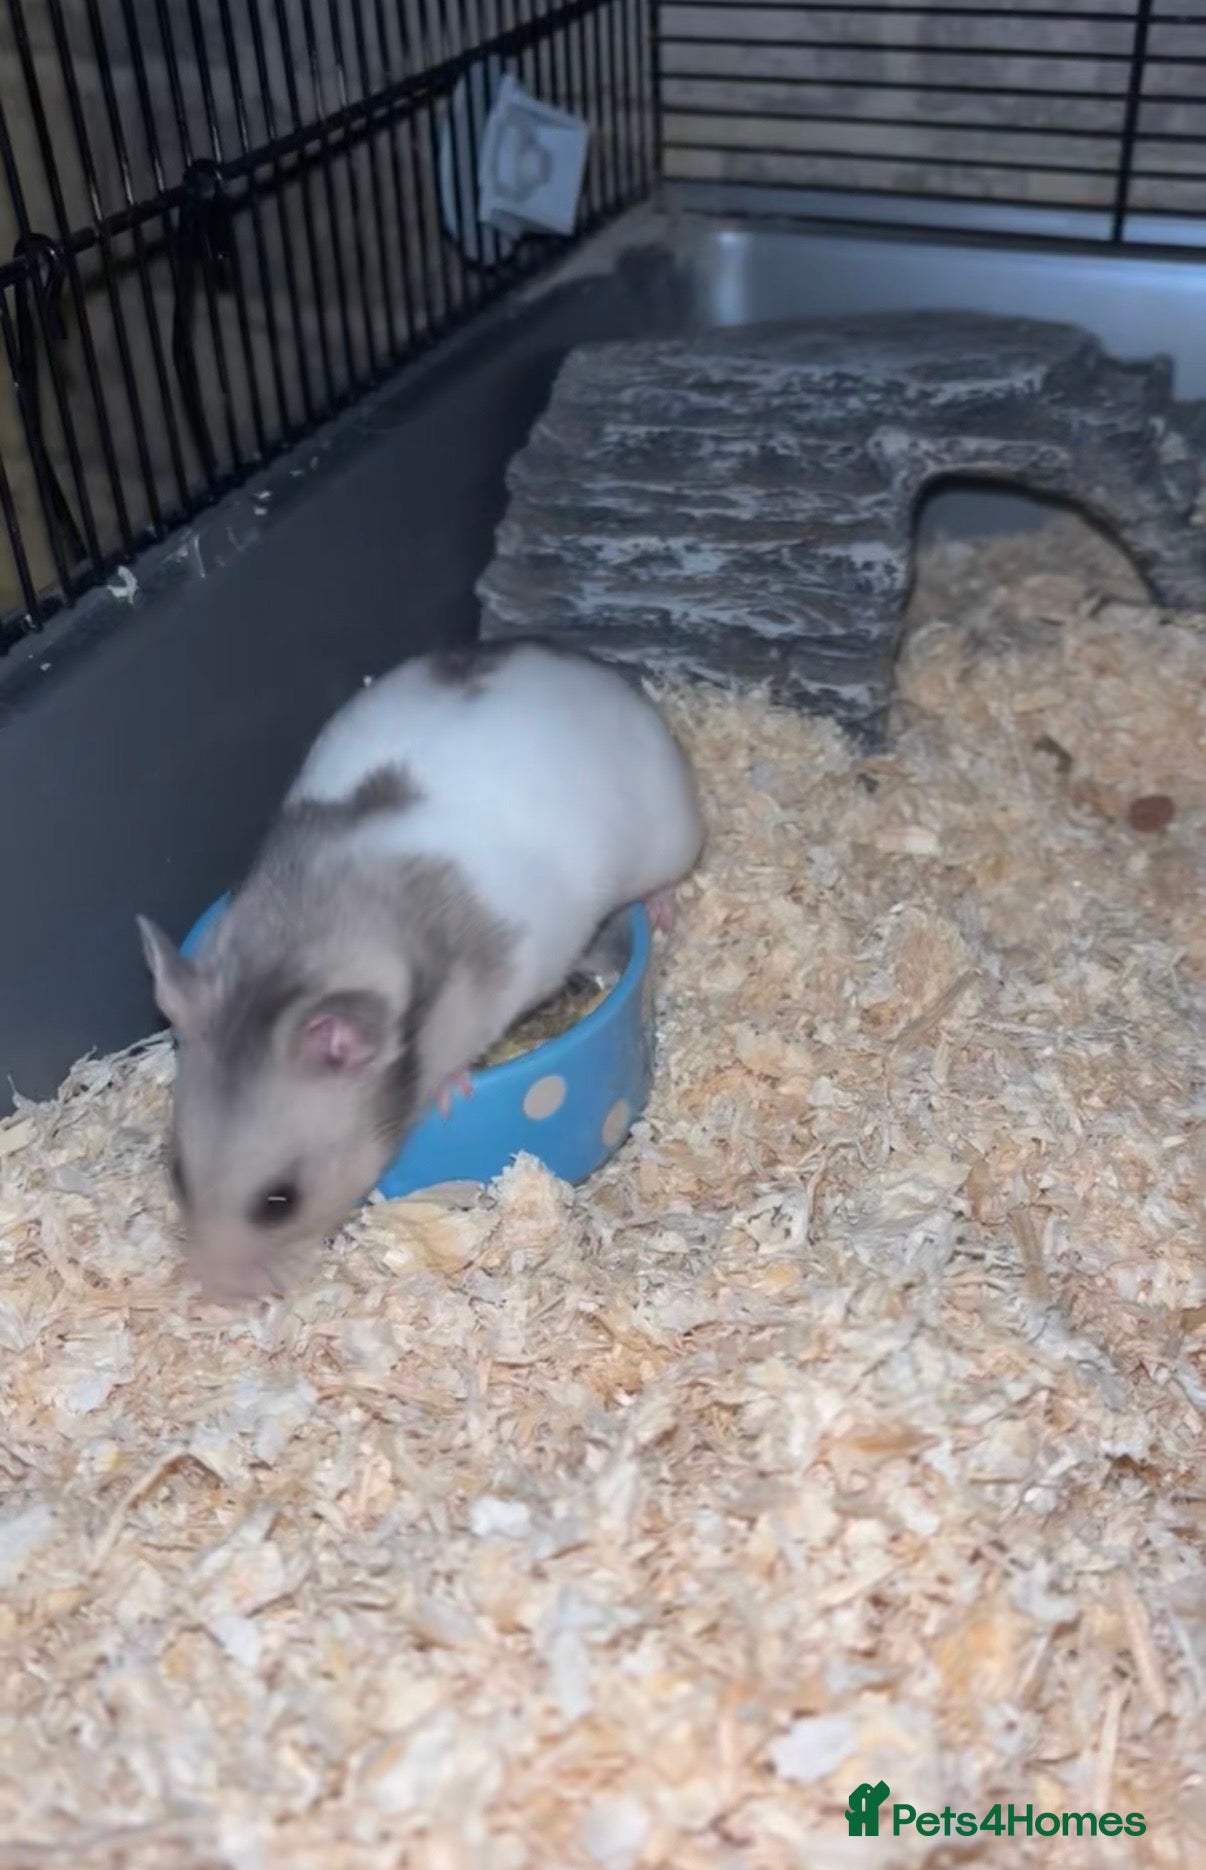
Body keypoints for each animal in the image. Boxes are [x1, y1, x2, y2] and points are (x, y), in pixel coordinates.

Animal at [138, 637, 704, 1297]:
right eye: (177, 1172)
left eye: (279, 1202)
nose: (219, 1294)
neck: (303, 948)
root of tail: (599, 672)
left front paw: (452, 1092)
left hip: (672, 835)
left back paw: (661, 908)